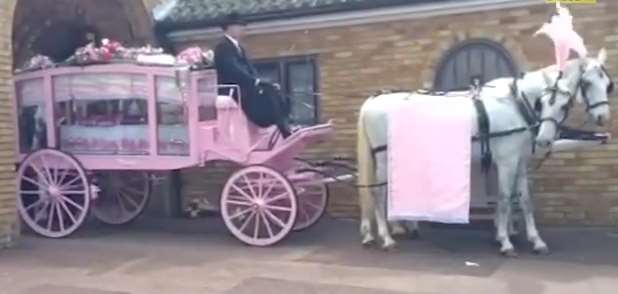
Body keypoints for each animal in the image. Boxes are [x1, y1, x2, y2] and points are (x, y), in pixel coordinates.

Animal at [356, 49, 612, 256]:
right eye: (588, 83)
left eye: (608, 84)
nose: (603, 117)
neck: (516, 105)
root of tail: (373, 101)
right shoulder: (507, 161)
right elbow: (505, 197)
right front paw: (506, 242)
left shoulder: (520, 161)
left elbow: (525, 200)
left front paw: (535, 241)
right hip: (383, 158)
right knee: (378, 193)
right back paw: (386, 238)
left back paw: (398, 228)